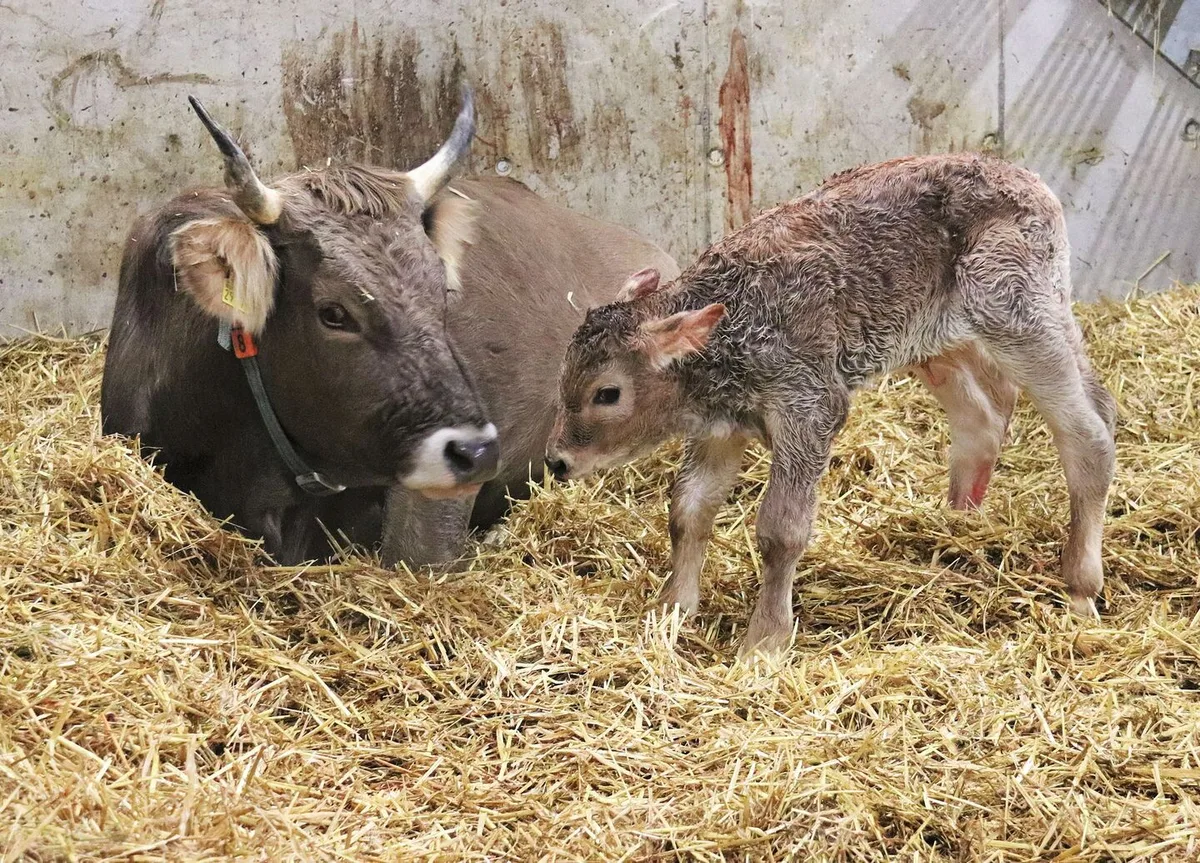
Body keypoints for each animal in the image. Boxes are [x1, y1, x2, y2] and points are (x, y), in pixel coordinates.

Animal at [546, 152, 1117, 657]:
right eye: (563, 376)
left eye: (607, 392)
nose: (557, 461)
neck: (732, 322)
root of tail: (1028, 179)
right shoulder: (719, 427)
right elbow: (688, 507)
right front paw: (670, 609)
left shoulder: (809, 407)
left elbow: (781, 529)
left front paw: (764, 643)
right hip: (936, 342)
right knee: (987, 417)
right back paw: (956, 525)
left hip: (1016, 312)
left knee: (1088, 428)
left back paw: (1080, 589)